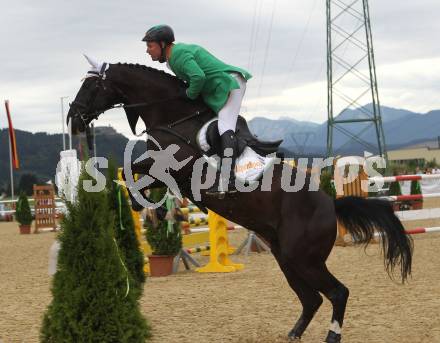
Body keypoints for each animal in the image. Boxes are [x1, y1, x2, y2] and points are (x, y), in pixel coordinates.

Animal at [68, 61, 412, 343]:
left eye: (91, 86)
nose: (73, 119)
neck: (175, 117)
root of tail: (330, 204)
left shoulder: (173, 169)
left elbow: (135, 173)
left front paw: (148, 207)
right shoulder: (160, 169)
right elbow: (131, 172)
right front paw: (149, 209)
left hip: (305, 258)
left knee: (337, 292)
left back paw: (331, 336)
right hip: (285, 256)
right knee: (311, 298)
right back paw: (293, 334)